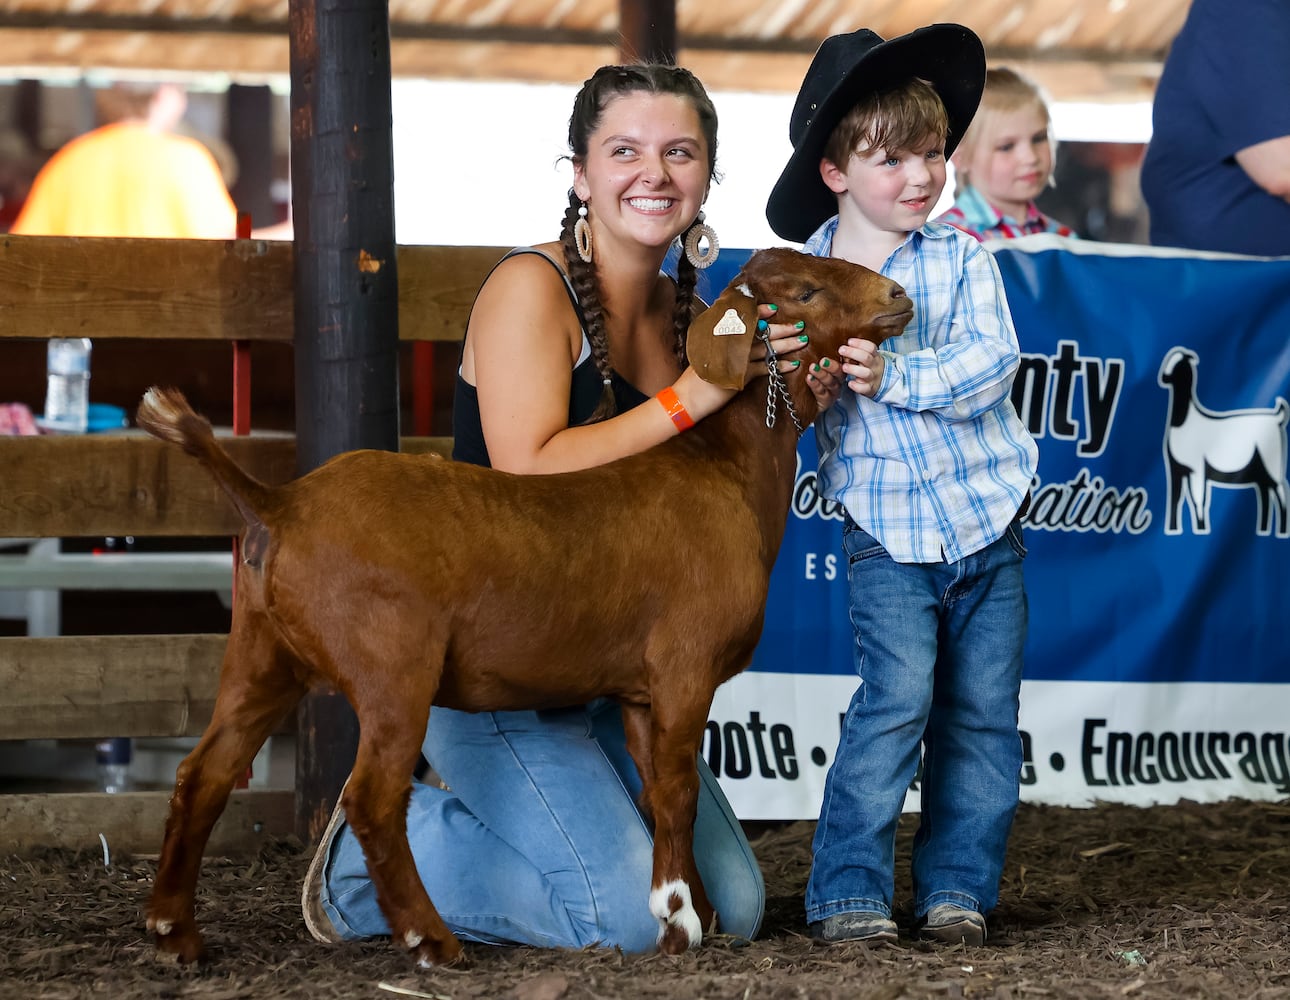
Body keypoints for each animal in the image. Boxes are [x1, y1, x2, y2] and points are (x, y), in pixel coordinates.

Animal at [136, 247, 913, 970]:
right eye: (805, 291)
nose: (898, 295)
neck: (727, 468)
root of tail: (278, 503)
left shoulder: (639, 691)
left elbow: (658, 791)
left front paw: (697, 906)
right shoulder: (684, 668)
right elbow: (680, 792)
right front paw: (676, 921)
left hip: (261, 654)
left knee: (202, 774)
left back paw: (175, 933)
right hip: (391, 666)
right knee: (373, 800)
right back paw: (429, 939)